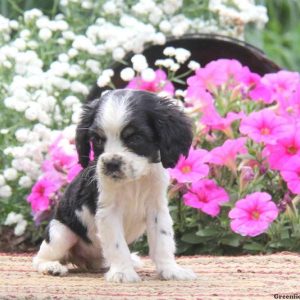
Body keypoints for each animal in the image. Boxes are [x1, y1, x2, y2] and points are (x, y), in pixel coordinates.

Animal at [33, 88, 197, 282]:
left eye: (135, 138)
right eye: (97, 139)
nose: (111, 163)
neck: (134, 182)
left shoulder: (157, 209)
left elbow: (163, 241)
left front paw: (171, 270)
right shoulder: (108, 212)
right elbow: (117, 245)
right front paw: (122, 273)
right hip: (61, 232)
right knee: (40, 257)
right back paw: (51, 267)